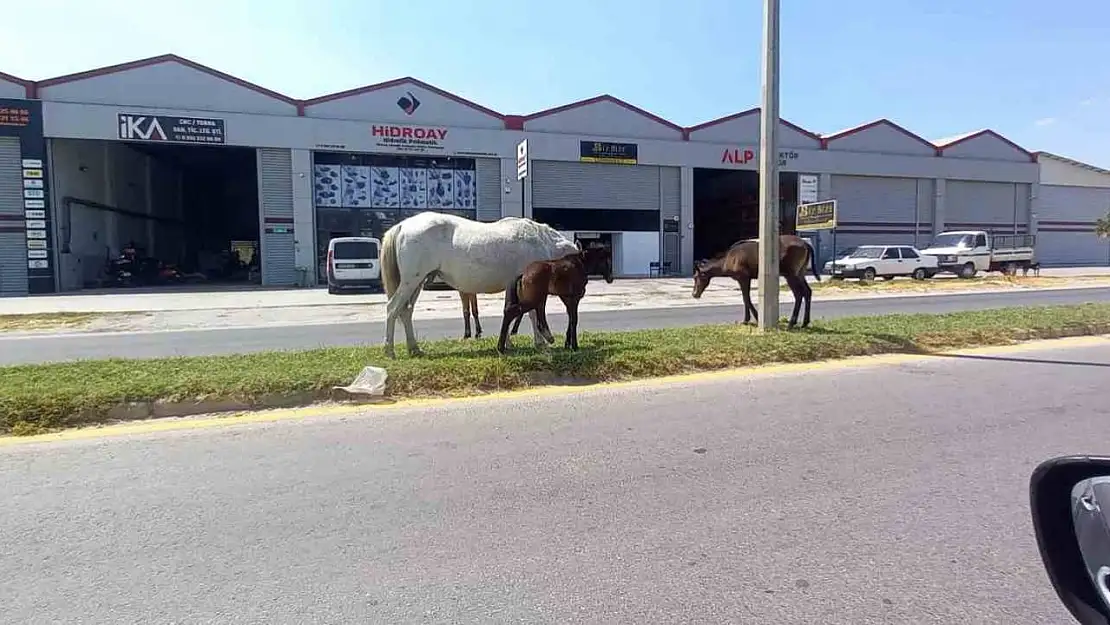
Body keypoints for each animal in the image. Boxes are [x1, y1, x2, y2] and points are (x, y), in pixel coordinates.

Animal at [379, 212, 577, 357]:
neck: (540, 242)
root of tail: (402, 226)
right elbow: (533, 314)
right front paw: (541, 343)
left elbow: (511, 311)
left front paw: (508, 342)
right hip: (410, 281)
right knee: (392, 308)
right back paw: (389, 351)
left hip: (417, 283)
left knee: (406, 311)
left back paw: (414, 348)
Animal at [692, 236, 825, 328]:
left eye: (696, 277)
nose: (694, 294)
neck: (726, 263)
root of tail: (807, 245)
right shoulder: (746, 278)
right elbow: (745, 298)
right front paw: (750, 319)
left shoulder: (743, 277)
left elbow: (746, 298)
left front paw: (752, 318)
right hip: (800, 272)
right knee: (808, 292)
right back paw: (805, 322)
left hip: (790, 274)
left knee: (799, 294)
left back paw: (792, 322)